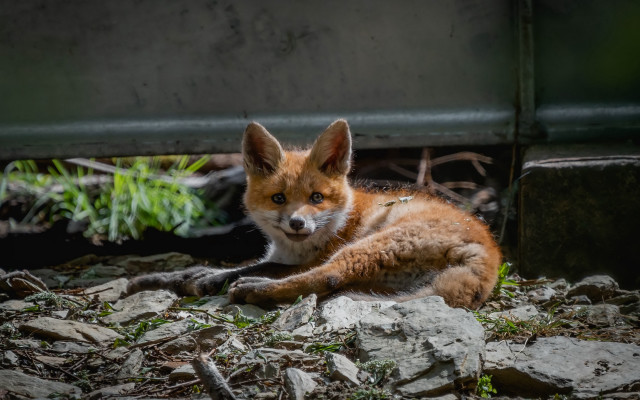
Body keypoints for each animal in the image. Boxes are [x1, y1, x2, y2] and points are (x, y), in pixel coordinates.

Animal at [127, 119, 501, 309]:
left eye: (316, 197)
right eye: (278, 198)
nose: (297, 223)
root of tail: (490, 256)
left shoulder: (310, 258)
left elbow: (252, 267)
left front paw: (211, 281)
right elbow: (208, 268)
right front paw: (158, 280)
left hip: (364, 248)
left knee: (327, 279)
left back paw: (257, 291)